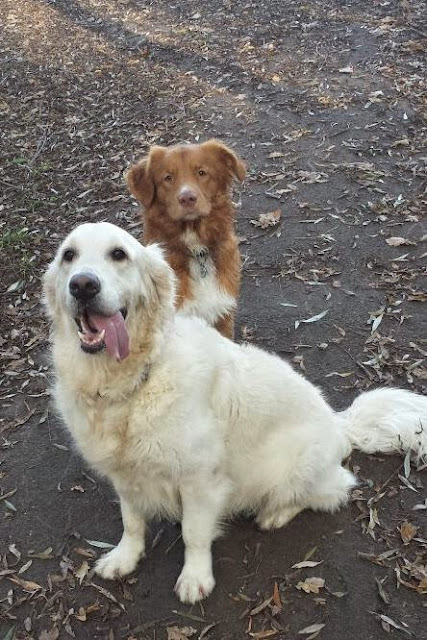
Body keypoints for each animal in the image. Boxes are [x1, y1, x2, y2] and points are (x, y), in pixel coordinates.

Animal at [43, 222, 427, 604]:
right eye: (69, 255)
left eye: (119, 254)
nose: (83, 285)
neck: (129, 382)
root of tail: (339, 422)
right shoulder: (125, 476)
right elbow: (132, 521)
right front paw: (125, 557)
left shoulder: (200, 481)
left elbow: (193, 533)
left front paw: (196, 577)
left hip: (292, 469)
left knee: (333, 489)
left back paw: (275, 514)